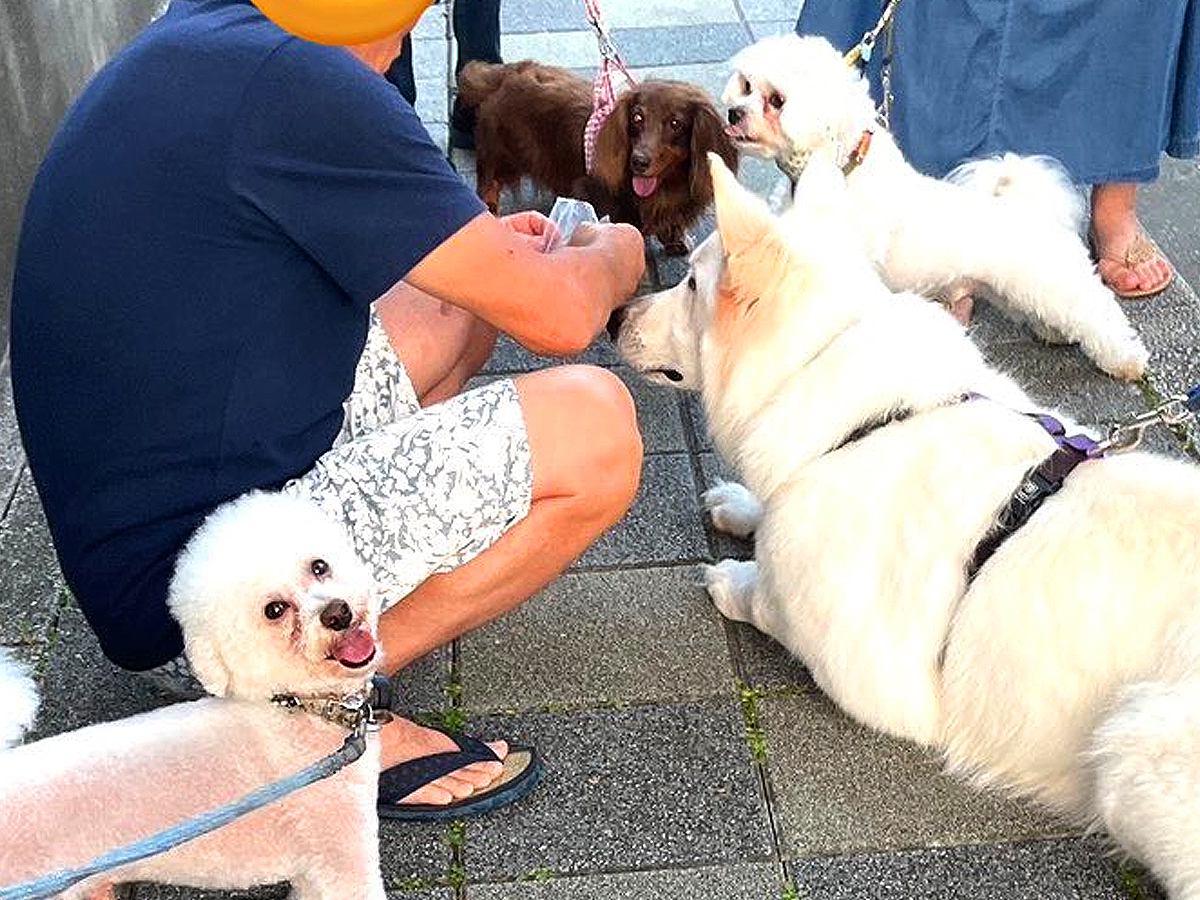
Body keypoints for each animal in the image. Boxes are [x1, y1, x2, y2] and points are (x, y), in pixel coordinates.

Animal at [619, 157, 1200, 900]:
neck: (857, 418)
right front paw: (744, 507)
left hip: (1133, 748)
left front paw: (735, 577)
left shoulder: (865, 670)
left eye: (690, 282)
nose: (615, 315)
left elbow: (764, 597)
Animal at [715, 32, 1147, 381]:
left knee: (1098, 314)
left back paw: (1126, 361)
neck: (837, 171)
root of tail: (1031, 207)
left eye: (776, 101)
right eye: (746, 85)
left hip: (1057, 280)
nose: (734, 112)